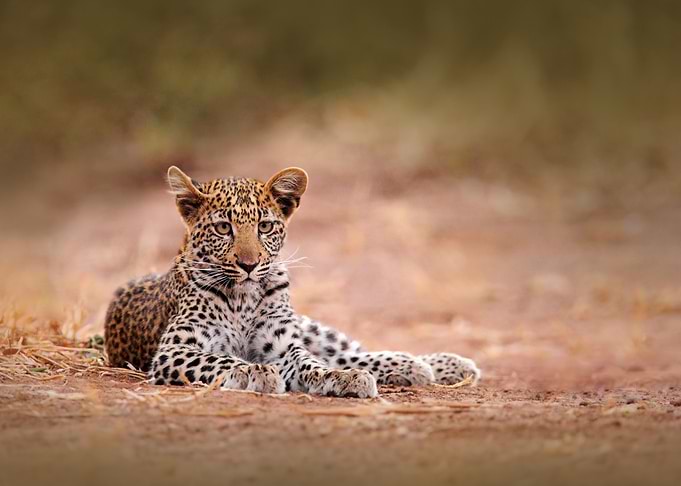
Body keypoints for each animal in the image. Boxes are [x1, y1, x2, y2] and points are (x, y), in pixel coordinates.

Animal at [104, 166, 481, 398]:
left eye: (265, 226)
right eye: (223, 228)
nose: (249, 265)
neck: (243, 298)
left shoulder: (283, 345)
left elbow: (311, 363)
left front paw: (339, 379)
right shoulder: (174, 350)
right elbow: (220, 359)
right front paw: (255, 373)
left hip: (311, 328)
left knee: (349, 352)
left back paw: (435, 364)